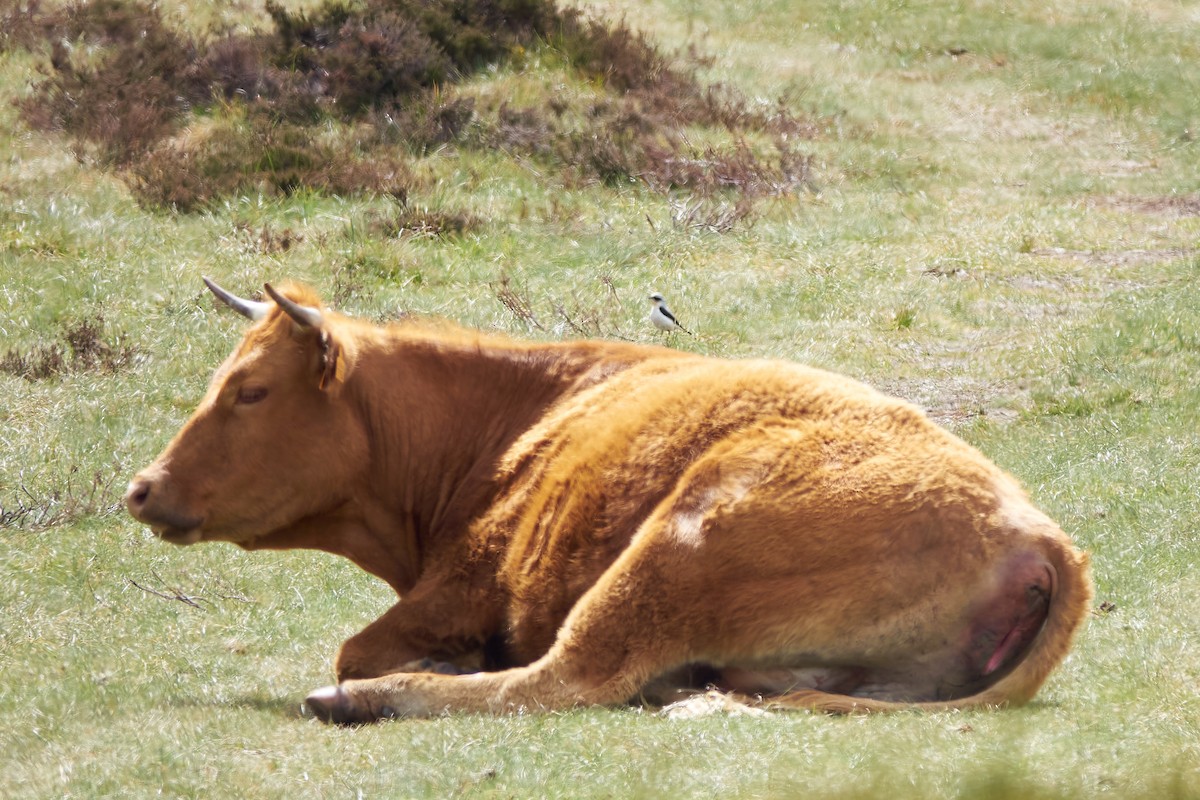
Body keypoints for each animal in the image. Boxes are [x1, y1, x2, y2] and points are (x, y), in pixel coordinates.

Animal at [126, 281, 1094, 724]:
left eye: (250, 391)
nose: (143, 488)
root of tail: (1041, 537)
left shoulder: (458, 592)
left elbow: (360, 646)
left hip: (675, 548)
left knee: (563, 680)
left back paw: (366, 699)